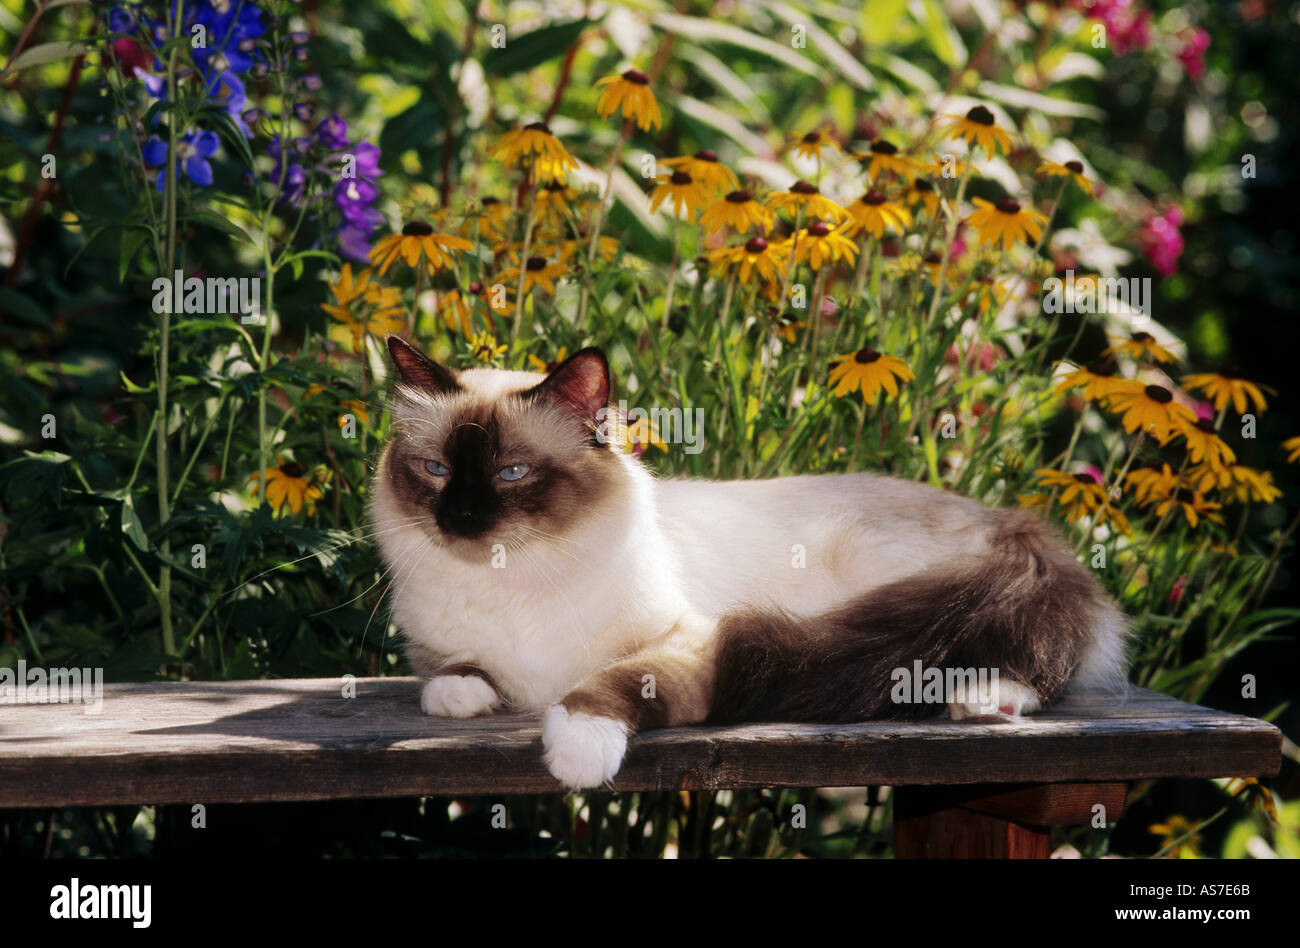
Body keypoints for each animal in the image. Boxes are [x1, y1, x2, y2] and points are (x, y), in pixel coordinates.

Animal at [366, 335, 1128, 785]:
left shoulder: (686, 643)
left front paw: (578, 751)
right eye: (436, 470)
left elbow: (607, 688)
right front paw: (467, 695)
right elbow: (449, 678)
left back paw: (982, 702)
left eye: (513, 474)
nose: (459, 521)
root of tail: (1011, 518)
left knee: (1026, 658)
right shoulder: (435, 649)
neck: (514, 581)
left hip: (916, 592)